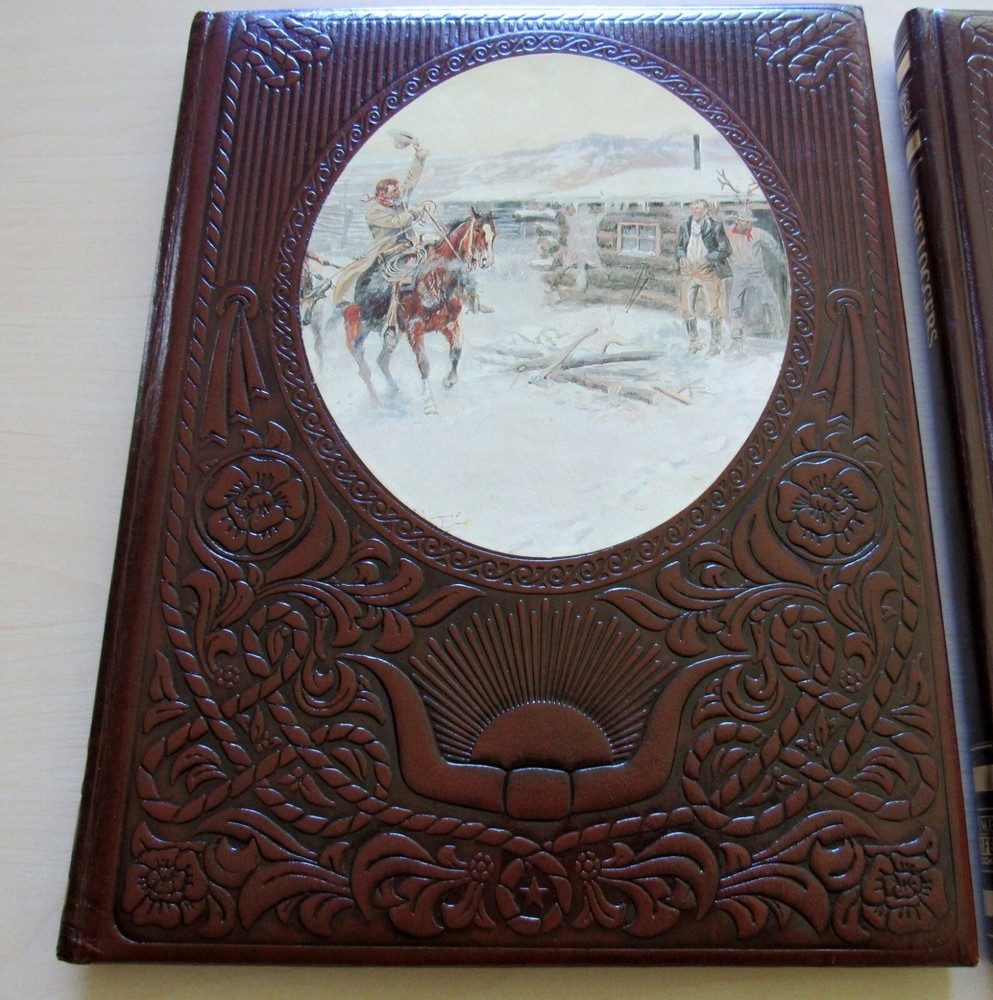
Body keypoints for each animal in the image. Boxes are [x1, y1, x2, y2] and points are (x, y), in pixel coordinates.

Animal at [342, 209, 496, 413]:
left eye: (494, 234)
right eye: (477, 229)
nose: (487, 261)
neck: (436, 278)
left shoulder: (450, 324)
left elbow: (456, 351)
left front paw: (449, 381)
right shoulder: (415, 329)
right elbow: (424, 364)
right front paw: (429, 403)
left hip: (394, 333)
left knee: (382, 360)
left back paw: (393, 389)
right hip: (357, 332)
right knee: (363, 366)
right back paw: (376, 402)